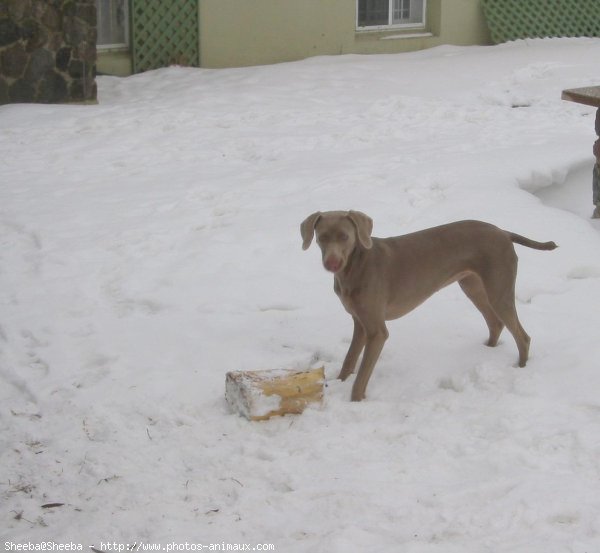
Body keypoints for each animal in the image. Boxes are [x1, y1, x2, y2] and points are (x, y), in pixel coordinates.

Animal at [300, 211, 556, 402]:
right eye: (322, 237)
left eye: (344, 236)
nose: (332, 263)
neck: (355, 266)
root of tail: (503, 232)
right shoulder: (360, 323)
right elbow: (350, 359)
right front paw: (337, 383)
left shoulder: (377, 331)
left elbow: (362, 374)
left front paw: (355, 400)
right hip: (473, 285)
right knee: (495, 323)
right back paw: (486, 351)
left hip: (498, 288)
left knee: (522, 336)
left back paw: (521, 367)